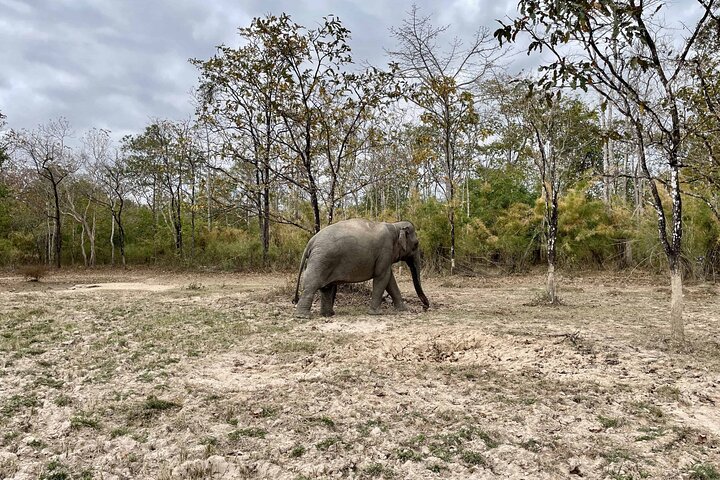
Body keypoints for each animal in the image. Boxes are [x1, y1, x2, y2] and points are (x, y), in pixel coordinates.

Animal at [292, 219, 430, 318]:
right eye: (416, 244)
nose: (425, 307)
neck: (395, 225)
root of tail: (311, 241)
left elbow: (390, 279)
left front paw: (404, 309)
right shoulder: (385, 250)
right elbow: (382, 277)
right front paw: (376, 313)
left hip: (323, 261)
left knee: (326, 288)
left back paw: (328, 315)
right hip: (321, 261)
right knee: (312, 286)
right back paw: (303, 316)